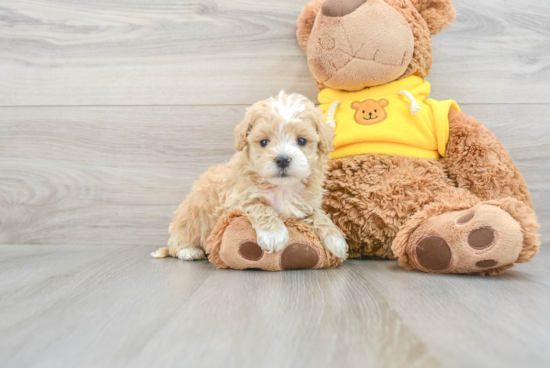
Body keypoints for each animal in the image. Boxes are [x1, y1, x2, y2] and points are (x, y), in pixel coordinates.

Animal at [153, 90, 348, 260]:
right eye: (264, 142)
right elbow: (261, 207)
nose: (282, 160)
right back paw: (189, 251)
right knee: (177, 244)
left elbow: (320, 216)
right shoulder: (237, 201)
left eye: (301, 141)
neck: (281, 187)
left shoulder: (305, 205)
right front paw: (274, 234)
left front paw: (337, 240)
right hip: (190, 219)